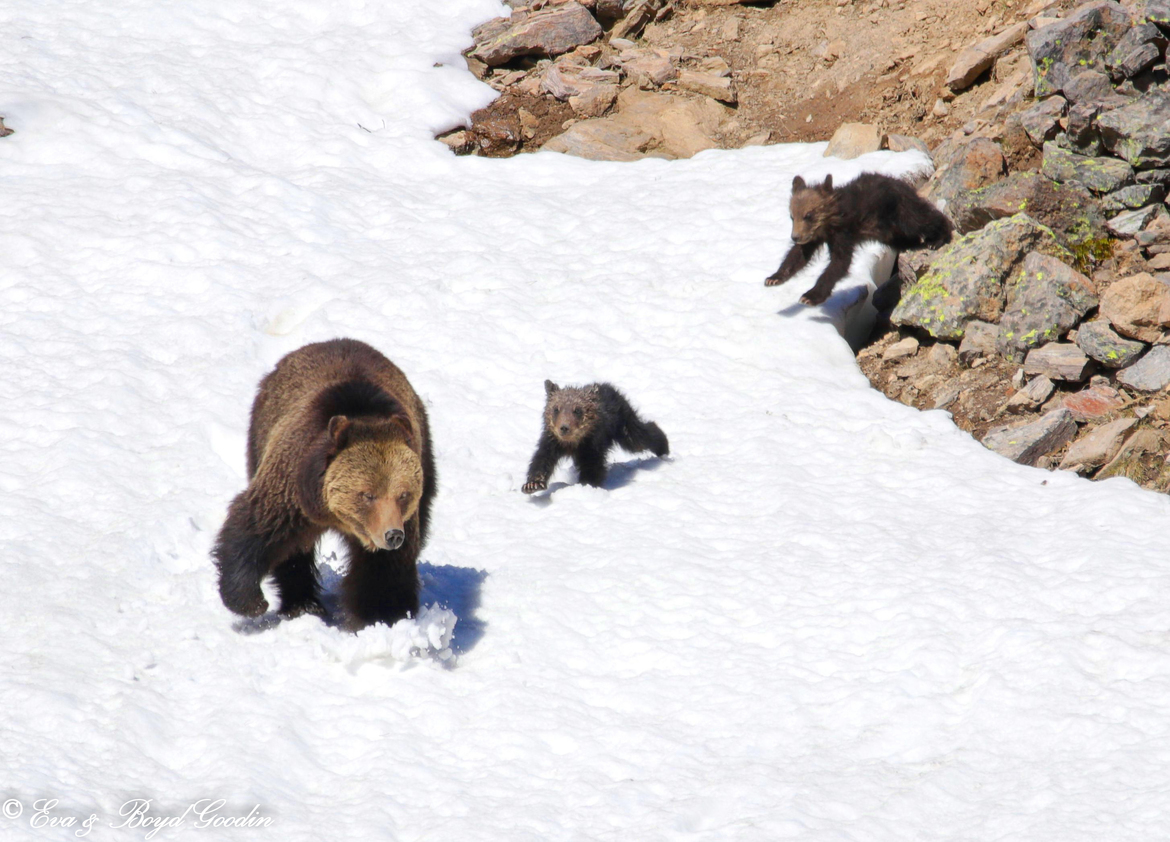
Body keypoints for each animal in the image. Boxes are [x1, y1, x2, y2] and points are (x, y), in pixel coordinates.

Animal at [212, 338, 437, 632]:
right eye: (367, 495)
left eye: (403, 494)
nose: (392, 535)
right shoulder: (292, 489)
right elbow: (255, 530)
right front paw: (253, 602)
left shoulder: (403, 520)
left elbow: (384, 574)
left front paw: (379, 617)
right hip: (260, 436)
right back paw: (302, 603)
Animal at [523, 380, 669, 493]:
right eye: (556, 409)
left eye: (577, 410)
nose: (564, 427)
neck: (572, 443)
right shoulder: (552, 441)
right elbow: (541, 460)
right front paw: (532, 484)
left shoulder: (592, 444)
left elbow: (593, 467)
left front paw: (586, 485)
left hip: (622, 423)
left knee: (638, 438)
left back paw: (663, 448)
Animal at [765, 172, 953, 306]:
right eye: (792, 216)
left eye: (808, 215)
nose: (795, 236)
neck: (828, 225)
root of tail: (902, 182)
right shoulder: (814, 237)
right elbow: (798, 256)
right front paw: (774, 277)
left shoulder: (843, 234)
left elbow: (839, 263)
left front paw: (810, 296)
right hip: (888, 231)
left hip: (900, 210)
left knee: (920, 219)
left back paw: (938, 238)